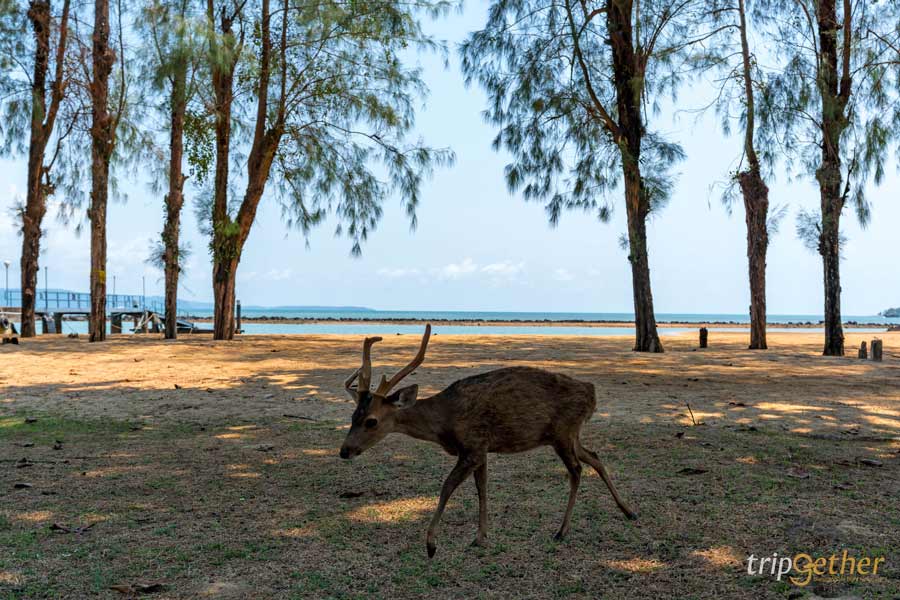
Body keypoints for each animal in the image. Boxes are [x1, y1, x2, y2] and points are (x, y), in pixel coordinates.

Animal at [340, 326, 640, 556]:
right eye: (353, 415)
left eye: (371, 421)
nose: (344, 451)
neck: (445, 422)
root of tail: (592, 393)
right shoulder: (481, 449)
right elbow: (482, 489)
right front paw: (481, 536)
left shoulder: (472, 445)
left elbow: (447, 487)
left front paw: (431, 545)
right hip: (570, 434)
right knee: (595, 457)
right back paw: (628, 511)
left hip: (562, 431)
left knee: (576, 470)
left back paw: (562, 530)